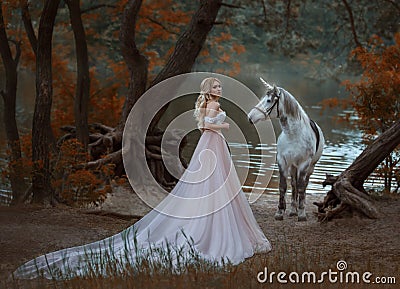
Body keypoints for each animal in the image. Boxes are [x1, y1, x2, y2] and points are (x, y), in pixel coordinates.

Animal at [248, 77, 324, 220]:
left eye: (269, 100)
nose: (250, 117)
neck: (293, 134)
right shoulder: (282, 161)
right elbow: (283, 186)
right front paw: (280, 212)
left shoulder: (304, 164)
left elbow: (301, 187)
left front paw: (302, 214)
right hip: (293, 166)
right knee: (294, 184)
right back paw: (293, 210)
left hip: (310, 167)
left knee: (303, 184)